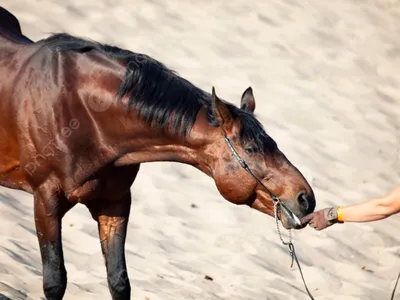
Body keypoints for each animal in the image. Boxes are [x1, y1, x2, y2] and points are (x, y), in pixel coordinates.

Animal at [0, 7, 316, 300]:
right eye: (250, 149)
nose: (306, 198)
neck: (81, 113)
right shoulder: (46, 201)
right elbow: (55, 281)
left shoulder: (114, 204)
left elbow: (119, 282)